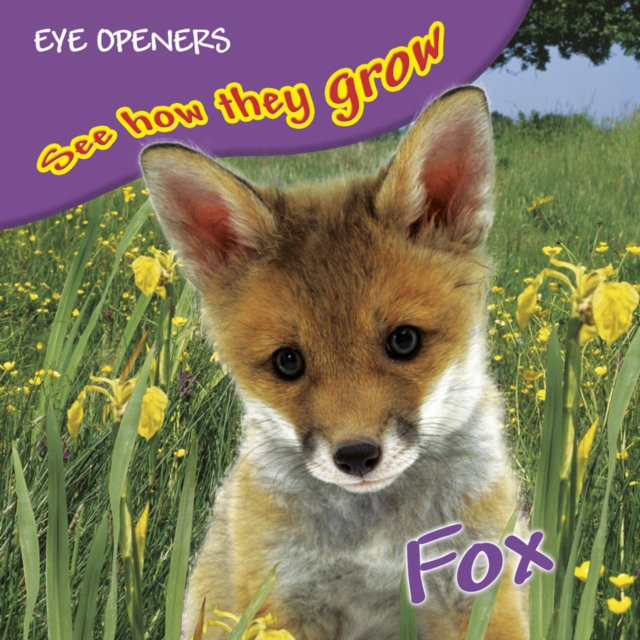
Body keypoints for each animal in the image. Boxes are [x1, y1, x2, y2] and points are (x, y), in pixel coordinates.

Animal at [140, 85, 529, 640]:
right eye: (287, 362)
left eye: (404, 341)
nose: (357, 456)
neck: (378, 548)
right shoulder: (277, 602)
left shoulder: (485, 590)